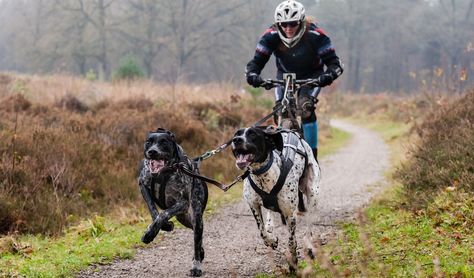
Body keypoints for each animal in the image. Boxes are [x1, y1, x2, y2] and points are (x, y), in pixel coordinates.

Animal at [139, 128, 209, 276]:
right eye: (149, 142)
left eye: (164, 142)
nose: (152, 151)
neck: (163, 173)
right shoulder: (143, 185)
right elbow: (154, 211)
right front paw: (161, 227)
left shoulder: (183, 203)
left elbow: (163, 214)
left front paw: (149, 234)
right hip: (185, 219)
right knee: (199, 242)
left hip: (196, 219)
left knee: (197, 242)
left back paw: (196, 266)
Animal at [231, 126, 320, 272]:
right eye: (237, 134)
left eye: (253, 134)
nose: (236, 140)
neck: (262, 175)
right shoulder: (253, 205)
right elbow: (261, 231)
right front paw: (271, 240)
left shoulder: (290, 214)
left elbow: (291, 242)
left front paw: (293, 262)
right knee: (269, 213)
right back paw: (270, 226)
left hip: (313, 193)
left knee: (309, 225)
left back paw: (309, 245)